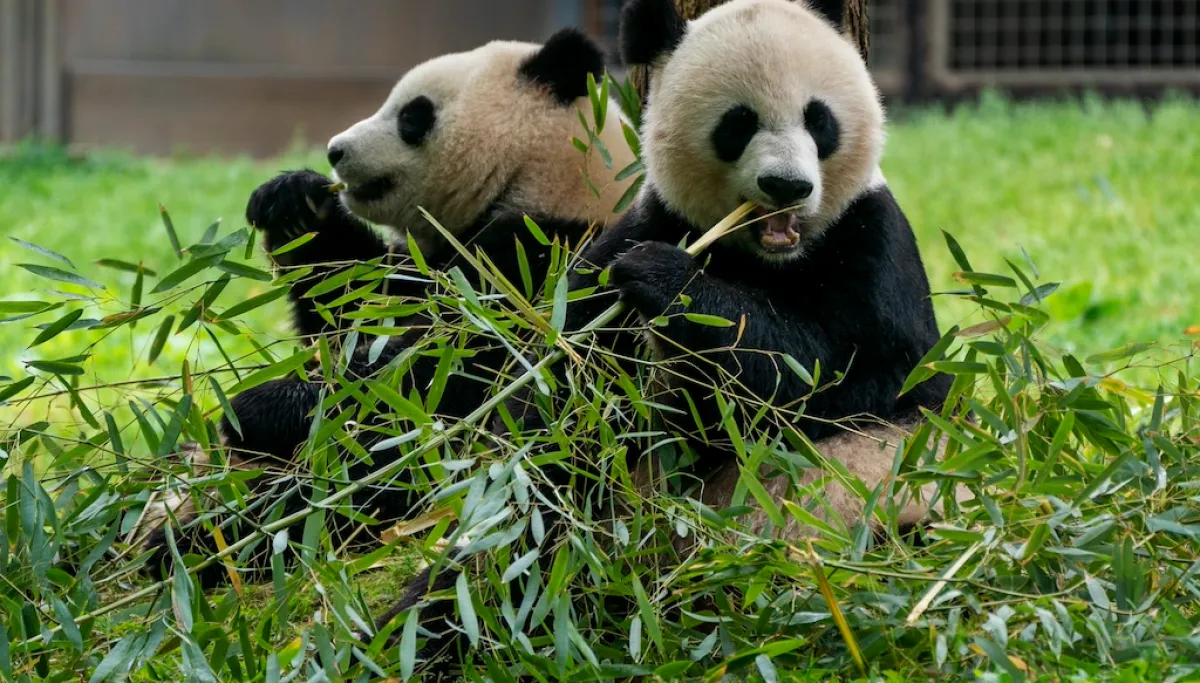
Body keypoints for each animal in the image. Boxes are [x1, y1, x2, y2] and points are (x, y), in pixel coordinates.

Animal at [135, 28, 636, 585]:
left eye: (412, 116)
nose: (334, 151)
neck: (546, 180)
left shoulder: (546, 266)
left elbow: (433, 377)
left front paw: (256, 409)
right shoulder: (424, 262)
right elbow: (350, 306)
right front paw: (293, 201)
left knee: (346, 494)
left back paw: (198, 546)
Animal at [372, 0, 959, 673]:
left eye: (819, 119)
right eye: (738, 124)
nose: (787, 187)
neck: (767, 258)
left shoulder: (873, 244)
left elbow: (845, 377)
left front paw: (668, 283)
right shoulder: (634, 234)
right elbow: (561, 407)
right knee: (519, 547)